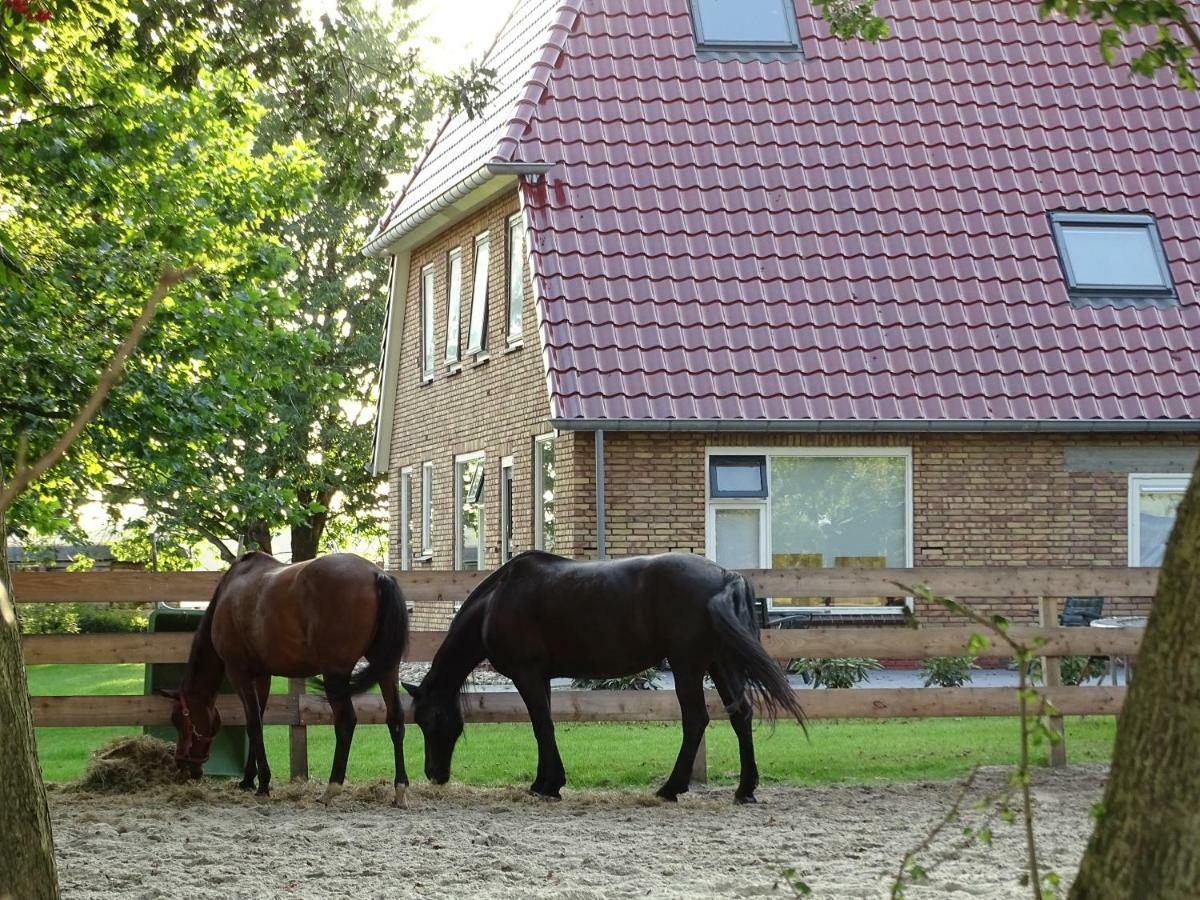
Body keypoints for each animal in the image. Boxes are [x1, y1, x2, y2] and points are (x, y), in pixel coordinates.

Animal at [159, 554, 412, 806]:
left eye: (178, 720)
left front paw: (262, 783)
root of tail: (376, 574)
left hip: (335, 674)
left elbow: (253, 724)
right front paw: (249, 779)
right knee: (395, 719)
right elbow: (257, 720)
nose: (183, 765)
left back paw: (332, 787)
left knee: (346, 722)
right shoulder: (262, 676)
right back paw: (400, 789)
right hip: (386, 668)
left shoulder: (238, 672)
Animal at [403, 554, 806, 806]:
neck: (497, 600)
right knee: (741, 715)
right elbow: (544, 727)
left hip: (688, 666)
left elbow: (541, 726)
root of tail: (725, 576)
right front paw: (547, 782)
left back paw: (671, 788)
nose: (434, 774)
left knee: (696, 721)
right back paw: (744, 789)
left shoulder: (527, 674)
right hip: (721, 663)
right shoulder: (541, 677)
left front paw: (547, 785)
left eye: (430, 720)